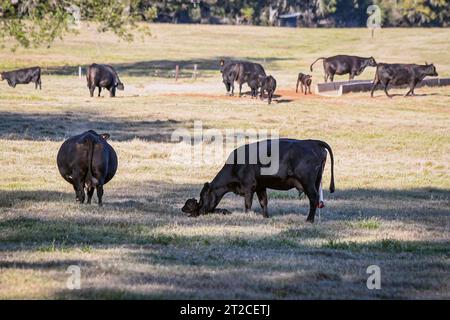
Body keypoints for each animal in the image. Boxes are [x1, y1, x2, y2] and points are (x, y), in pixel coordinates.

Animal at [182, 139, 334, 224]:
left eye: (202, 196)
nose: (200, 211)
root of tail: (312, 142)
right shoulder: (261, 186)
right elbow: (263, 202)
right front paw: (265, 217)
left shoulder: (248, 186)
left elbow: (248, 203)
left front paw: (247, 216)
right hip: (316, 180)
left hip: (307, 182)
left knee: (313, 198)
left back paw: (309, 220)